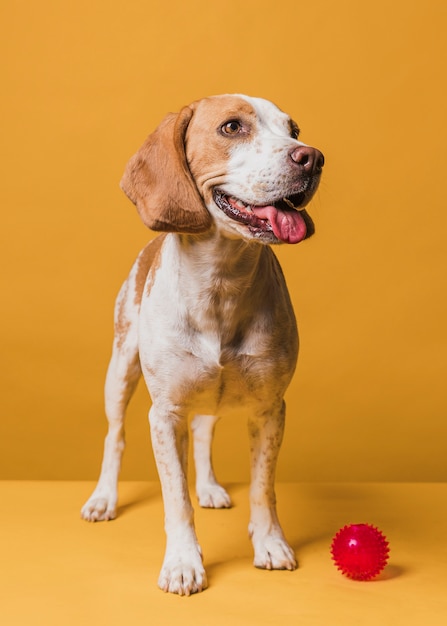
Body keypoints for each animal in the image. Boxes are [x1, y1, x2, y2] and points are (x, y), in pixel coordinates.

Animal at [82, 95, 324, 592]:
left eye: (293, 130)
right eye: (232, 127)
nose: (312, 157)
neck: (221, 282)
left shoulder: (270, 409)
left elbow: (262, 487)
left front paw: (269, 542)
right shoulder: (165, 414)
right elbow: (176, 498)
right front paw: (182, 562)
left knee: (203, 431)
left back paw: (210, 486)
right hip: (120, 371)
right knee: (115, 437)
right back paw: (104, 498)